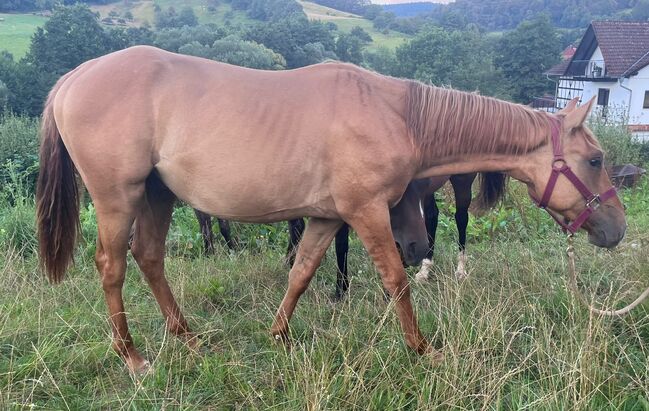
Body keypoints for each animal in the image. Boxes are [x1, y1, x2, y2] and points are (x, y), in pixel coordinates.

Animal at [35, 46, 624, 374]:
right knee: (113, 266)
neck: (397, 113)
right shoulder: (365, 213)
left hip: (158, 195)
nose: (617, 229)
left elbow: (302, 272)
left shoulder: (325, 217)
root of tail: (72, 78)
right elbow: (395, 280)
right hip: (119, 198)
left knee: (150, 258)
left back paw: (188, 338)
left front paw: (278, 335)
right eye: (595, 160)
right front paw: (421, 349)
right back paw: (133, 357)